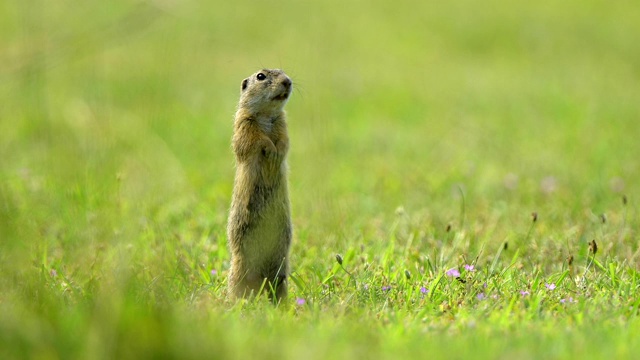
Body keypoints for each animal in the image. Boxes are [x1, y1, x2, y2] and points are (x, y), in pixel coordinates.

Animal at [228, 67, 292, 300]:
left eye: (283, 71)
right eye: (261, 76)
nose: (288, 81)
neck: (266, 114)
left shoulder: (282, 123)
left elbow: (284, 140)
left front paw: (277, 151)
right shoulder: (244, 123)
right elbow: (252, 140)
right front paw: (270, 149)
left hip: (282, 269)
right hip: (239, 266)